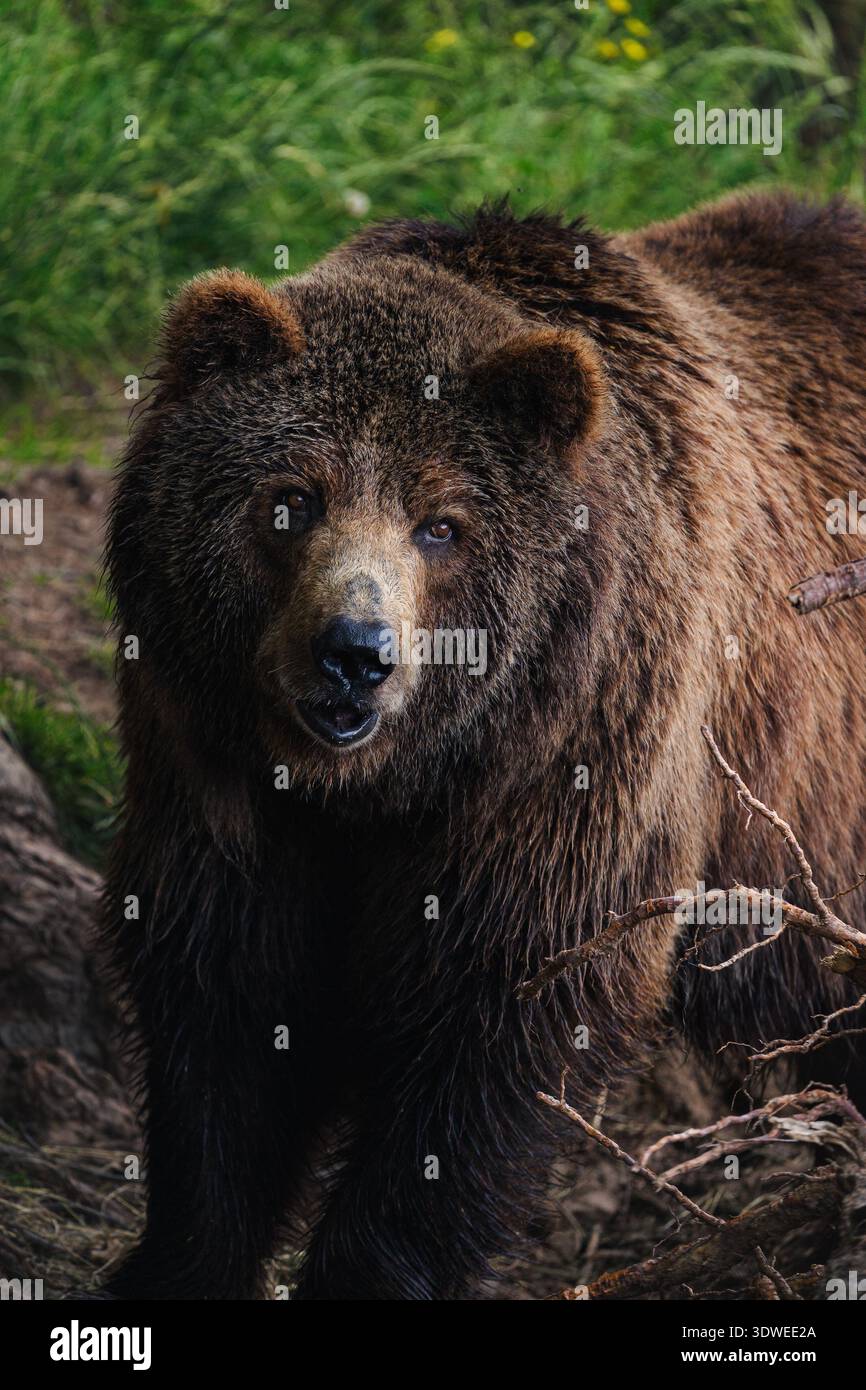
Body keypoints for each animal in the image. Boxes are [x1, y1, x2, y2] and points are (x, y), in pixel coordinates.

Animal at [101, 190, 866, 1300]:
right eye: (290, 497)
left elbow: (488, 1041)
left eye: (441, 523)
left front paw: (368, 1269)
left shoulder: (567, 769)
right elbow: (225, 1008)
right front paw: (176, 1260)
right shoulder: (214, 771)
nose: (355, 655)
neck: (380, 789)